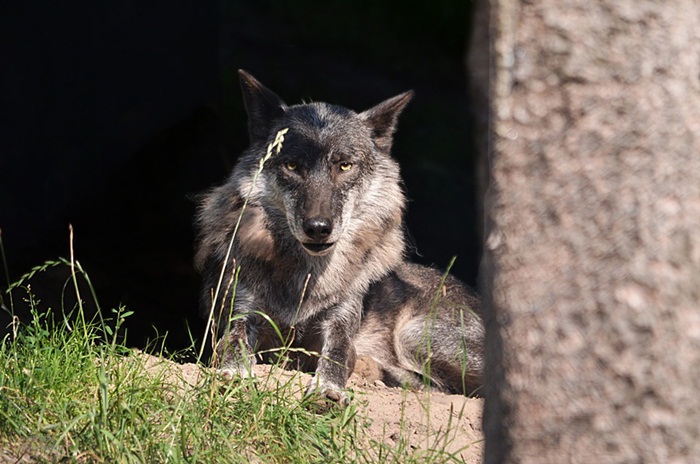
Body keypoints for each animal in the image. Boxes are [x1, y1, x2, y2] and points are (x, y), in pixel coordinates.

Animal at [194, 70, 484, 404]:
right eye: (292, 166)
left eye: (344, 165)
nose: (318, 227)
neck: (306, 280)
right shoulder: (242, 312)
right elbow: (234, 342)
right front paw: (234, 373)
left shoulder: (340, 320)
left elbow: (338, 352)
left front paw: (328, 388)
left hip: (416, 335)